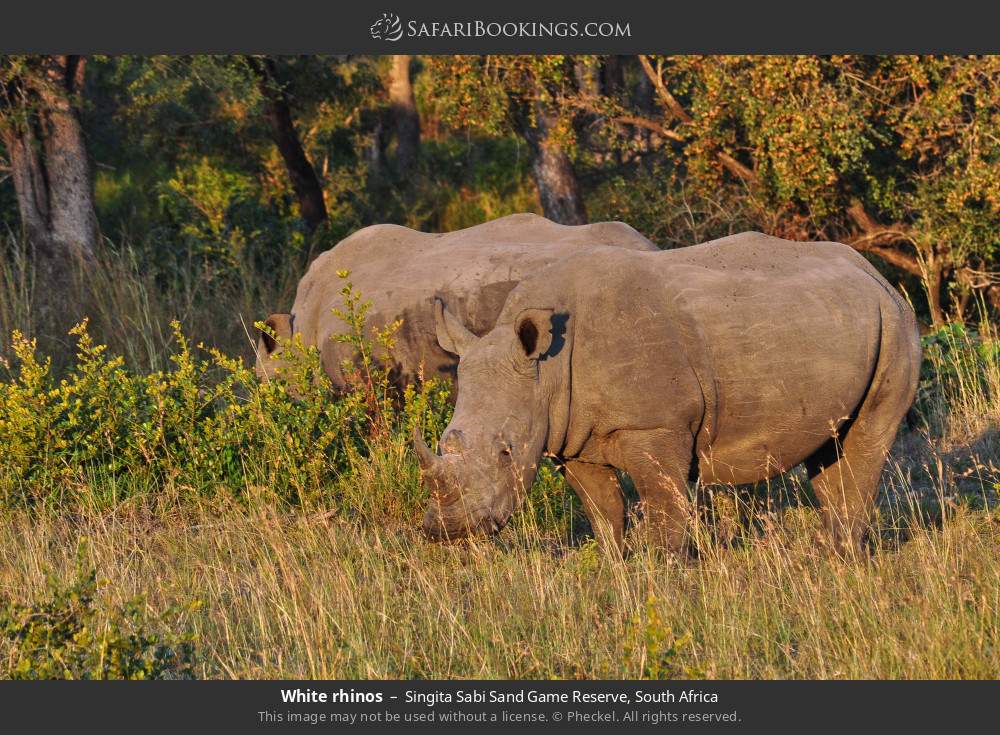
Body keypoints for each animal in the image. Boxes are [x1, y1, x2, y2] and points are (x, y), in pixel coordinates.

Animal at [415, 231, 921, 556]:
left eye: (506, 452)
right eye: (442, 441)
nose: (449, 532)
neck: (547, 370)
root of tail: (873, 273)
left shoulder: (656, 425)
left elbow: (663, 505)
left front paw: (664, 572)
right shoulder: (569, 434)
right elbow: (603, 510)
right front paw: (616, 566)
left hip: (896, 325)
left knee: (865, 441)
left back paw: (843, 559)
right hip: (836, 322)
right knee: (829, 447)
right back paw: (832, 556)